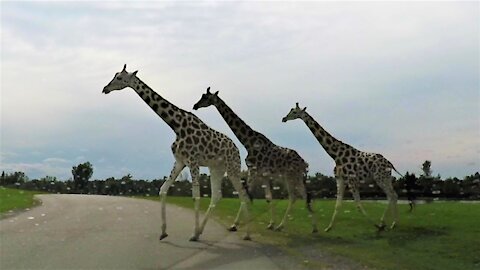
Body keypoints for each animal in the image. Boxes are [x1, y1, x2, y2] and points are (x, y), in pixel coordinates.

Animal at [101, 65, 251, 240]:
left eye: (119, 78)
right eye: (115, 75)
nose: (105, 89)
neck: (176, 126)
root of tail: (236, 149)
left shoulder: (193, 161)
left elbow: (196, 195)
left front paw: (192, 234)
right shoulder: (180, 161)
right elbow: (163, 189)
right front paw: (164, 232)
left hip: (232, 167)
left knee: (243, 194)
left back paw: (245, 233)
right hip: (216, 168)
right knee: (217, 195)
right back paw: (202, 230)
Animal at [191, 88, 318, 232]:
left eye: (205, 97)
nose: (195, 106)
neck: (248, 142)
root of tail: (304, 163)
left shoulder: (253, 170)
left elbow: (246, 195)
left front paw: (234, 224)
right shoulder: (263, 174)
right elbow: (268, 197)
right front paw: (270, 223)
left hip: (292, 176)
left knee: (298, 196)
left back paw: (293, 226)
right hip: (292, 177)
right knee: (302, 196)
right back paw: (308, 227)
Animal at [284, 102, 400, 231]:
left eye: (294, 112)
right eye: (290, 110)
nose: (284, 118)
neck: (335, 155)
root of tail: (389, 163)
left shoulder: (352, 180)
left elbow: (358, 205)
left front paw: (376, 225)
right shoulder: (340, 179)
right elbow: (338, 204)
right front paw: (328, 228)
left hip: (380, 178)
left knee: (391, 196)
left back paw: (384, 223)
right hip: (385, 178)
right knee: (393, 195)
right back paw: (393, 223)